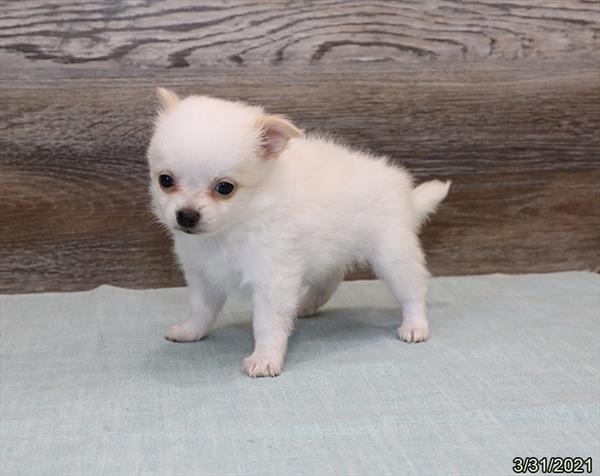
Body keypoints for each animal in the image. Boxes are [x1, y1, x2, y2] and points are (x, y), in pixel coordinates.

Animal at [149, 88, 450, 380]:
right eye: (165, 180)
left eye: (225, 187)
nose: (186, 216)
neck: (231, 229)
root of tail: (406, 195)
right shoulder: (202, 275)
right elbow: (202, 309)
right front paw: (191, 331)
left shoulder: (272, 280)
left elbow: (267, 324)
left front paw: (265, 358)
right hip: (328, 255)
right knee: (330, 280)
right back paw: (305, 305)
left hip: (393, 256)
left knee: (413, 290)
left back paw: (415, 325)